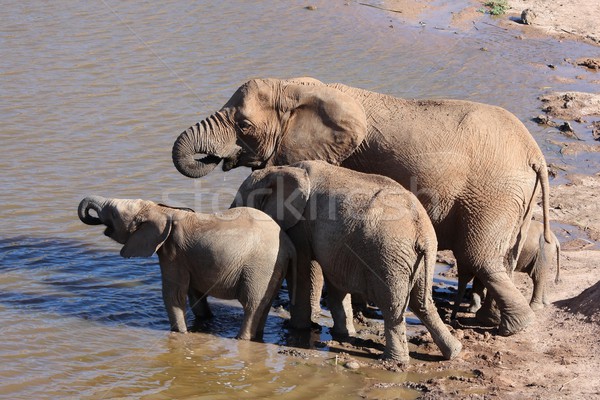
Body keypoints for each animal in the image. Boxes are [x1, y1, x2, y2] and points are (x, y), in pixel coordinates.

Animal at [77, 195, 296, 340]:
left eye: (113, 214)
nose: (91, 215)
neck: (162, 211)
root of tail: (288, 244)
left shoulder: (173, 254)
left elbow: (173, 295)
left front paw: (181, 334)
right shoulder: (188, 258)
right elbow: (195, 295)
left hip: (260, 267)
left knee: (252, 305)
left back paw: (240, 339)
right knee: (263, 305)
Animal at [171, 76, 552, 336]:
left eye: (245, 125)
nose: (217, 158)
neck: (295, 88)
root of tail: (534, 153)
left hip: (494, 194)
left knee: (480, 257)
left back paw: (511, 328)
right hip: (514, 198)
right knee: (500, 258)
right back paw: (491, 320)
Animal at [232, 160, 462, 362]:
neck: (282, 169)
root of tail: (421, 229)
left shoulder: (301, 224)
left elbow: (303, 271)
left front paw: (296, 329)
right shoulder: (336, 246)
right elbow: (334, 279)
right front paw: (343, 333)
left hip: (388, 257)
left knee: (392, 305)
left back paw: (394, 361)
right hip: (413, 258)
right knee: (422, 302)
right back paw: (454, 352)